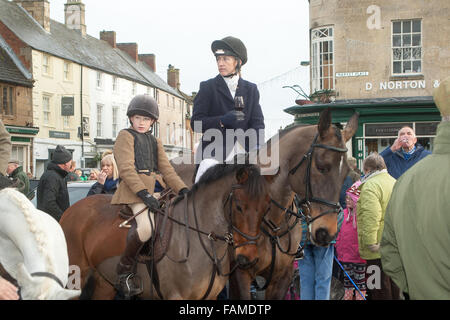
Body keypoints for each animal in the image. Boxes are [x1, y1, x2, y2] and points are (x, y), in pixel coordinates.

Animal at [59, 162, 274, 300]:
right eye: (239, 206)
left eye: (266, 207)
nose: (249, 258)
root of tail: (71, 209)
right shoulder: (175, 296)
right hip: (75, 277)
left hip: (105, 282)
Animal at [171, 109, 358, 298]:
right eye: (321, 167)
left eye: (346, 172)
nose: (326, 233)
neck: (273, 220)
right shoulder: (240, 273)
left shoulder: (282, 277)